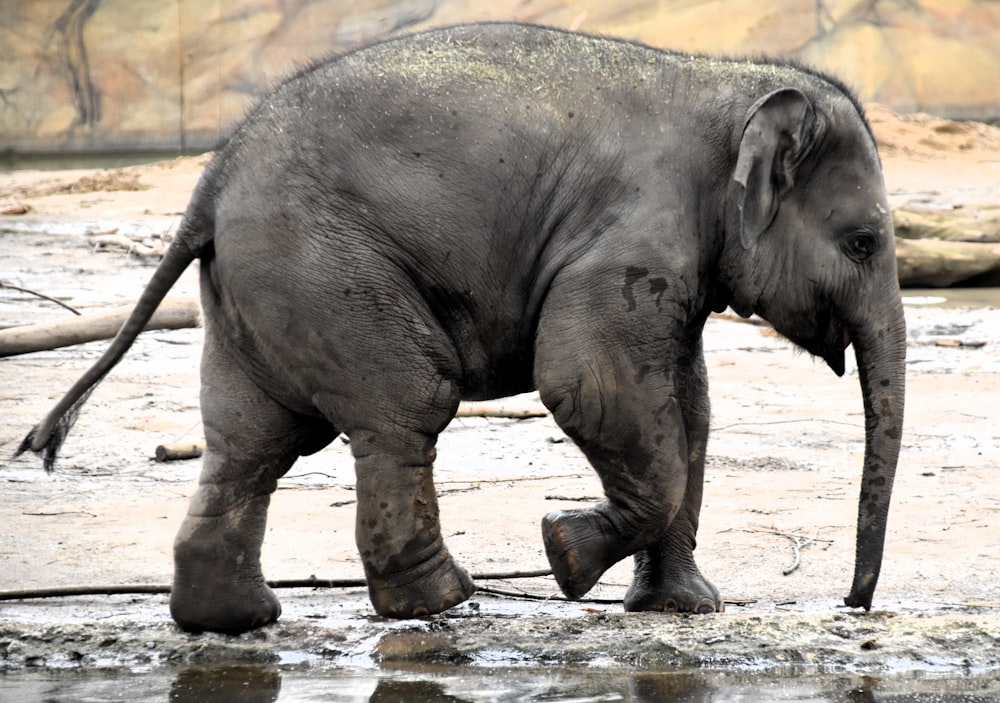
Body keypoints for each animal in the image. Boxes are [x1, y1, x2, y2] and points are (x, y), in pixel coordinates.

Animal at [17, 24, 908, 636]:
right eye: (864, 242)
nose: (854, 601)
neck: (727, 84)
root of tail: (210, 180)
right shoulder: (630, 237)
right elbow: (588, 382)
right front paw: (563, 551)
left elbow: (689, 407)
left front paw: (682, 609)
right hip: (325, 267)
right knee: (406, 405)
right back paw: (444, 600)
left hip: (258, 290)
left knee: (250, 442)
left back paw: (236, 619)